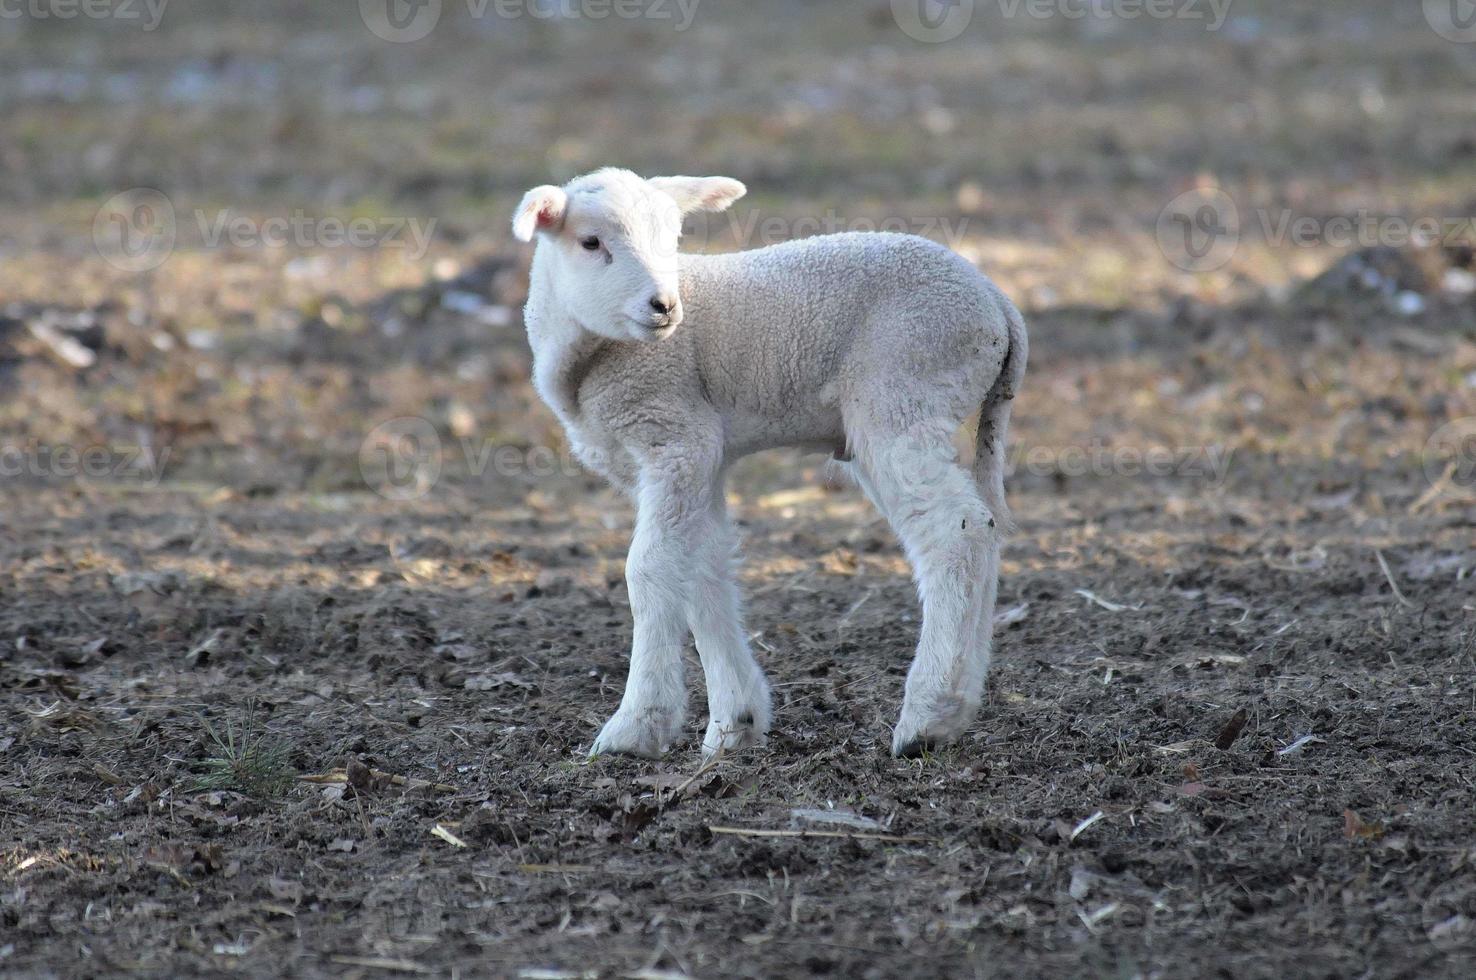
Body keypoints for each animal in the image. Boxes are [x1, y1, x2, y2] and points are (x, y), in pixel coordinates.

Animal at [513, 170, 1033, 755]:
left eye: (673, 238)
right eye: (590, 243)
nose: (664, 306)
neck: (587, 355)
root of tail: (997, 302)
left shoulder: (676, 438)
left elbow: (649, 568)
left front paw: (636, 726)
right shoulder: (694, 458)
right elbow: (702, 568)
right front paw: (734, 724)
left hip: (904, 392)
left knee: (955, 530)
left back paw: (929, 716)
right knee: (984, 529)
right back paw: (961, 704)